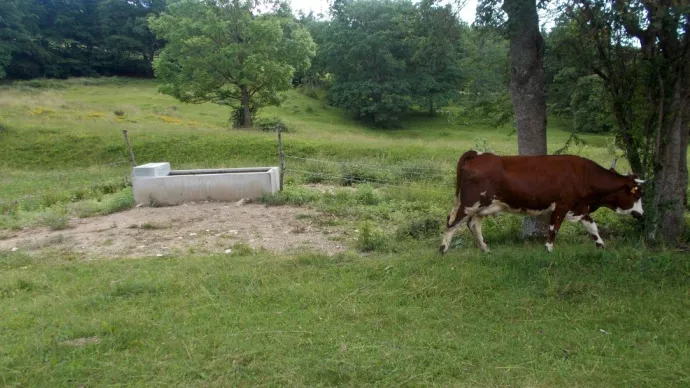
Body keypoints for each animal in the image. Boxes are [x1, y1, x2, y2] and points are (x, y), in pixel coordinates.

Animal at [438, 149, 644, 255]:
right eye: (638, 194)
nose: (642, 214)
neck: (585, 176)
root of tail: (478, 154)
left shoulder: (579, 207)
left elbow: (592, 227)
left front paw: (601, 246)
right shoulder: (561, 206)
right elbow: (554, 229)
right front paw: (549, 249)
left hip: (482, 207)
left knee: (473, 224)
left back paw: (485, 249)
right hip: (469, 203)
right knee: (452, 222)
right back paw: (443, 249)